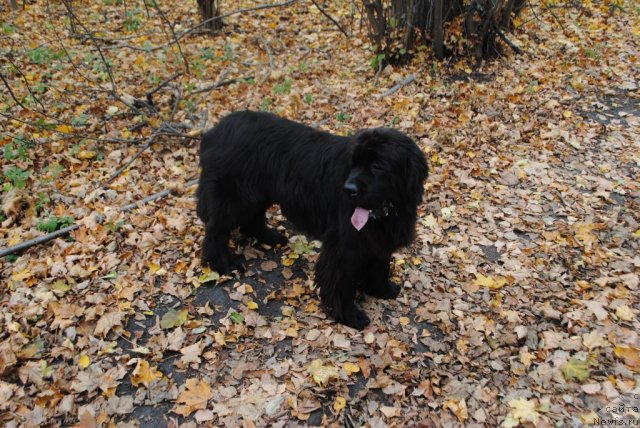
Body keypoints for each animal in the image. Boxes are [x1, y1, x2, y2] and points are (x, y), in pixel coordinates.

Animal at [198, 110, 428, 328]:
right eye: (353, 164)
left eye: (377, 166)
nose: (348, 190)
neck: (387, 212)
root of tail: (214, 131)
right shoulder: (343, 244)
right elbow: (341, 282)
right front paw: (349, 315)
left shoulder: (380, 238)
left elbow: (381, 265)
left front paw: (383, 289)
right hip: (235, 197)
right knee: (216, 230)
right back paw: (224, 264)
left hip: (256, 193)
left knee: (250, 220)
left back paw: (272, 238)